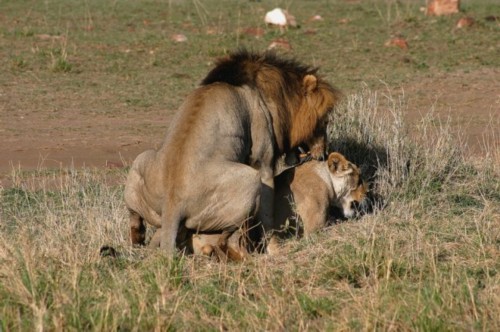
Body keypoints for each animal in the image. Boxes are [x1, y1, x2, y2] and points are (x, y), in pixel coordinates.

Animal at [123, 50, 340, 254]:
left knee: (134, 216)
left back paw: (138, 241)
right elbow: (267, 218)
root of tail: (171, 204)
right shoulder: (263, 164)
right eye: (324, 121)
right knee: (229, 236)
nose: (324, 154)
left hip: (141, 159)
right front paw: (273, 249)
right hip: (250, 180)